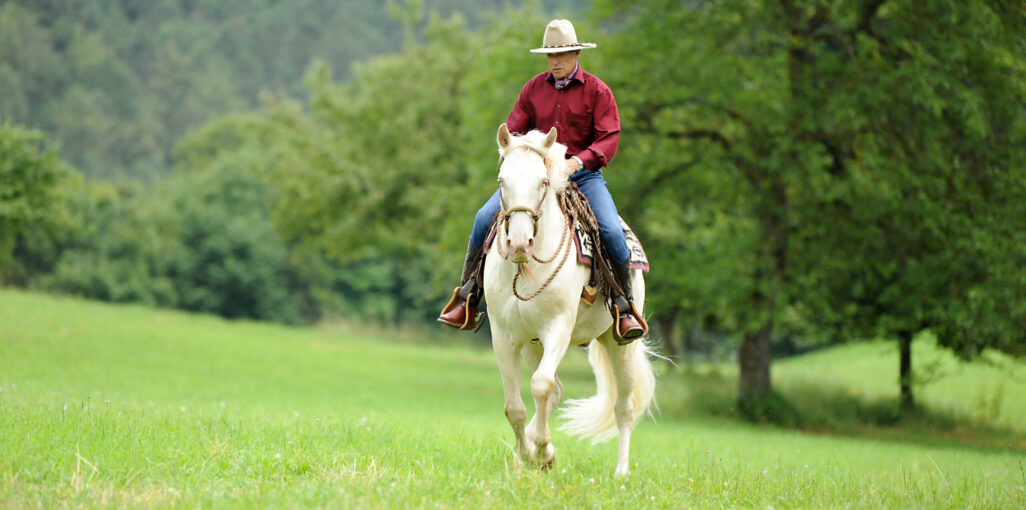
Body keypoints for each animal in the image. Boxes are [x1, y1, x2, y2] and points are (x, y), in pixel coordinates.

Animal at [482, 123, 656, 476]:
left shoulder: (558, 329)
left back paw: (621, 472)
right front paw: (527, 454)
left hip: (620, 344)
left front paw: (542, 451)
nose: (519, 243)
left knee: (624, 407)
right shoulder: (504, 337)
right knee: (556, 391)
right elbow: (515, 406)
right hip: (533, 345)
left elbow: (541, 386)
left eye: (543, 182)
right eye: (502, 181)